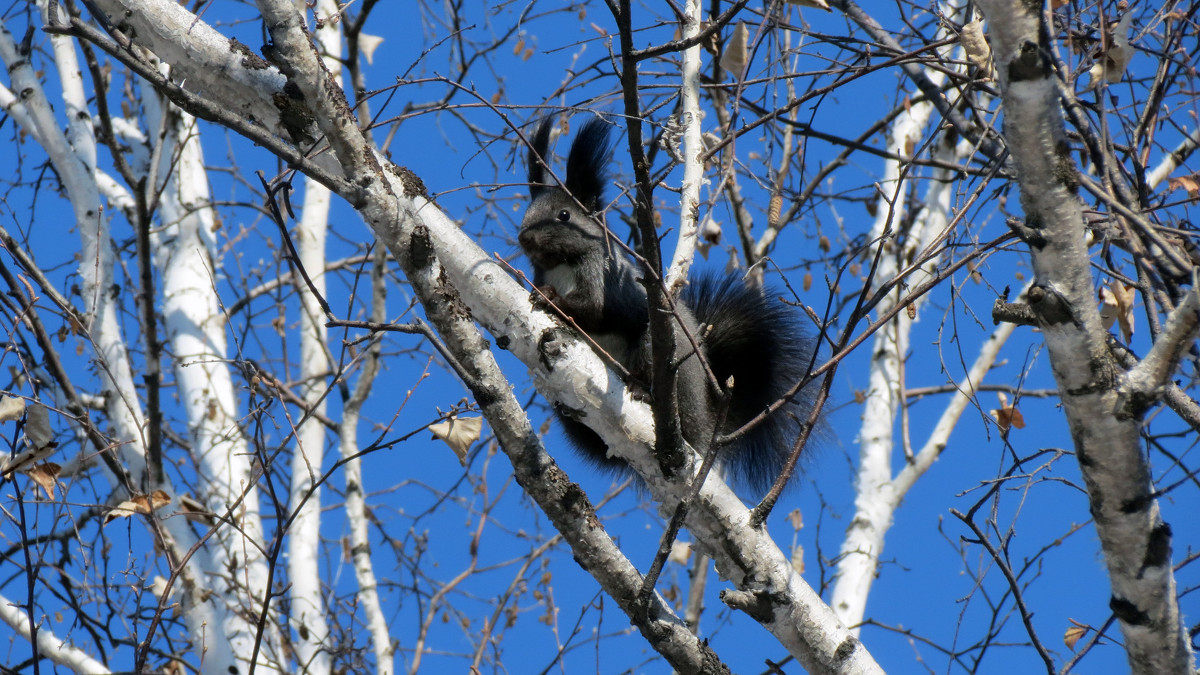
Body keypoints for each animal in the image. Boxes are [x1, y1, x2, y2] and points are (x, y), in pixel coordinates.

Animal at [518, 115, 825, 492]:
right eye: (528, 210)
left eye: (564, 215)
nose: (525, 238)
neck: (560, 264)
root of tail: (707, 424)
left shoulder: (605, 278)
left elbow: (594, 311)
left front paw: (552, 298)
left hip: (663, 353)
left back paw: (642, 389)